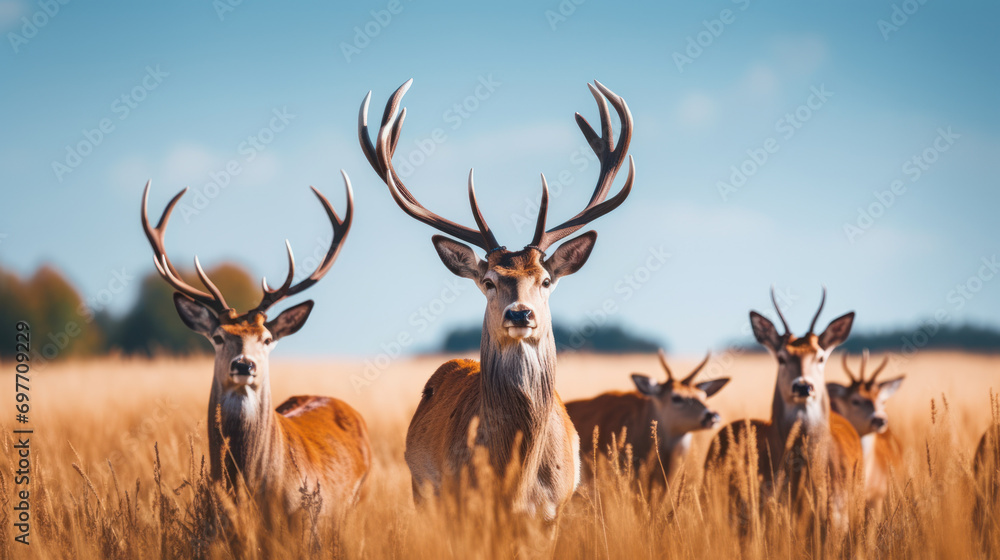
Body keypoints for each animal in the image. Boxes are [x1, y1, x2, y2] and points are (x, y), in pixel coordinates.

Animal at [358, 79, 634, 520]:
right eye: (488, 281)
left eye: (545, 280)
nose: (520, 314)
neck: (516, 482)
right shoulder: (462, 506)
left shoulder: (553, 510)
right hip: (422, 491)